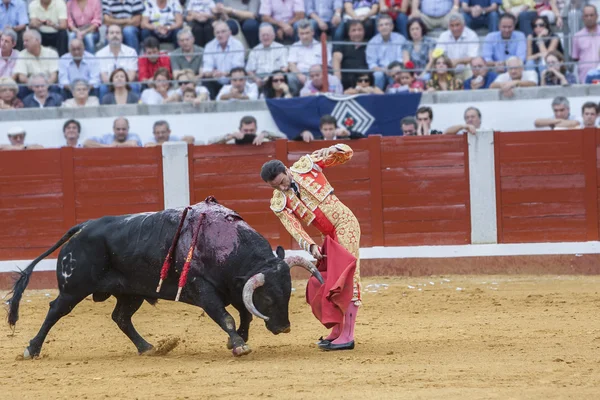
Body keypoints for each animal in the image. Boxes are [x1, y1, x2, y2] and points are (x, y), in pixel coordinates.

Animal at [7, 197, 324, 360]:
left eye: (288, 292)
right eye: (268, 297)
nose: (284, 327)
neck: (226, 244)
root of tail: (83, 227)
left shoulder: (235, 289)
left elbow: (245, 314)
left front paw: (238, 339)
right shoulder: (203, 290)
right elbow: (226, 317)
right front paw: (238, 343)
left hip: (131, 292)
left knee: (121, 317)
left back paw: (147, 347)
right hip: (73, 289)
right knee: (55, 311)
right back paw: (31, 349)